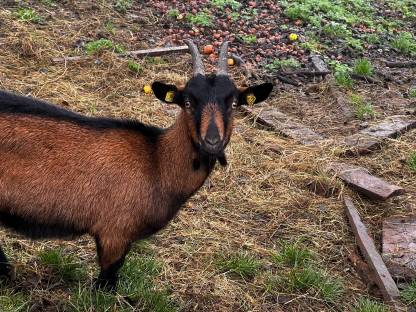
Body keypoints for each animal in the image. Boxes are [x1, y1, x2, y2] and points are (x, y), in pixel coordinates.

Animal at [0, 40, 272, 288]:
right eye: (187, 102)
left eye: (234, 104)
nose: (212, 141)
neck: (157, 161)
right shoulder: (115, 234)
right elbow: (107, 283)